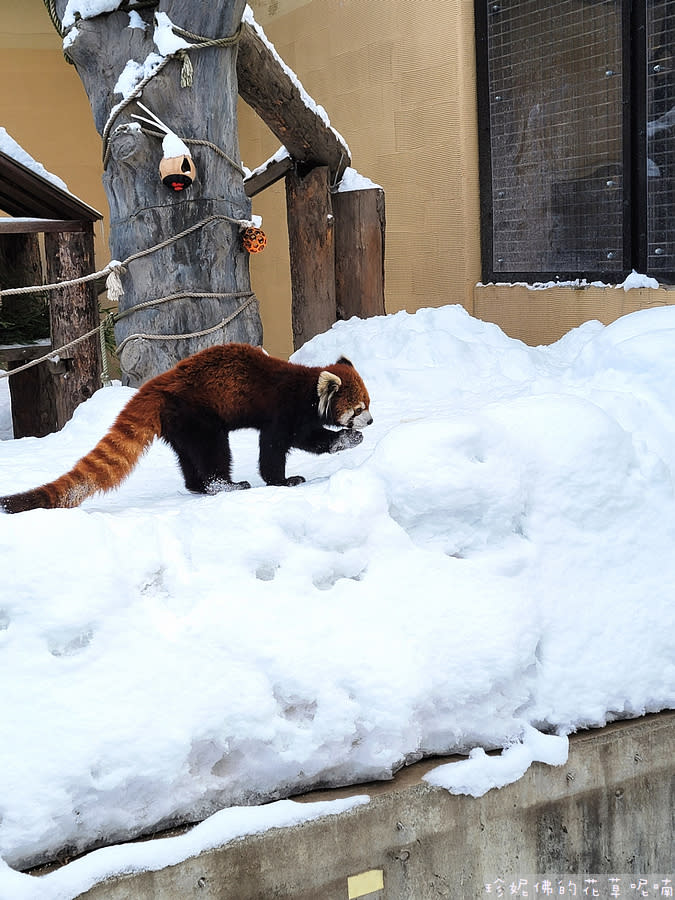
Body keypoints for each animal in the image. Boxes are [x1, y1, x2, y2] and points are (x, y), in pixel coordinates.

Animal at [0, 342, 374, 512]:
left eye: (368, 404)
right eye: (358, 408)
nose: (370, 420)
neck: (307, 387)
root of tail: (157, 385)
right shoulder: (282, 410)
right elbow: (283, 445)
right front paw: (284, 480)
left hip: (178, 422)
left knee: (189, 456)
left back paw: (196, 486)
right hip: (198, 413)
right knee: (213, 452)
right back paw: (224, 485)